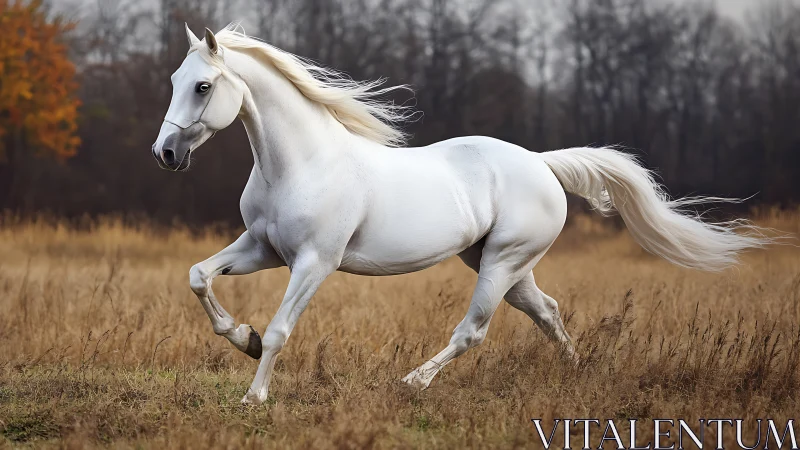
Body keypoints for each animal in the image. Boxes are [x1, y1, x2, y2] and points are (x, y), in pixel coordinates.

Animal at [151, 24, 772, 405]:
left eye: (203, 86)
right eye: (176, 82)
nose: (166, 154)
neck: (301, 163)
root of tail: (543, 165)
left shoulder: (313, 262)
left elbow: (282, 329)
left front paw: (254, 394)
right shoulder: (261, 248)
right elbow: (199, 276)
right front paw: (243, 337)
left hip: (502, 262)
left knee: (473, 330)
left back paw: (411, 382)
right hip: (501, 264)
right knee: (547, 311)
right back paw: (578, 372)